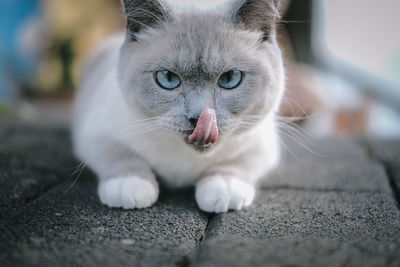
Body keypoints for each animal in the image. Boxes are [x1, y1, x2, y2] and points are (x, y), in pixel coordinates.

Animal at [71, 0, 284, 214]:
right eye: (168, 78)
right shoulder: (95, 134)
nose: (199, 119)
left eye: (230, 79)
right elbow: (120, 156)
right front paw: (130, 186)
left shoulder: (262, 146)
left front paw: (224, 187)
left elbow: (237, 164)